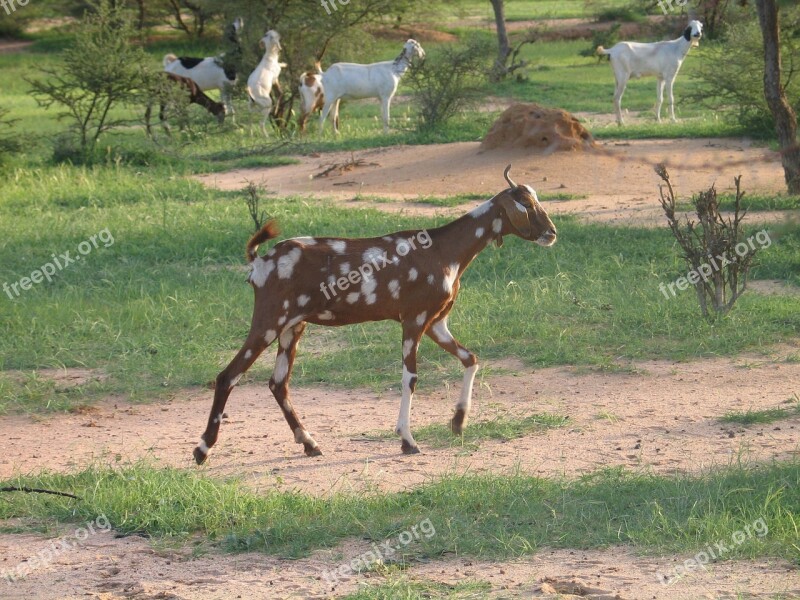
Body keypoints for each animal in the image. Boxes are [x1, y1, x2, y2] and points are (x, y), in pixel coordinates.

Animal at [194, 164, 556, 464]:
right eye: (526, 205)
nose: (552, 233)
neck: (445, 251)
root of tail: (259, 262)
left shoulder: (436, 323)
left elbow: (471, 359)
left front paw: (457, 422)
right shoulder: (414, 320)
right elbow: (410, 378)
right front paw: (407, 440)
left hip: (292, 327)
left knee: (278, 383)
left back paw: (309, 443)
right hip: (269, 321)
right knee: (228, 376)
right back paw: (203, 449)